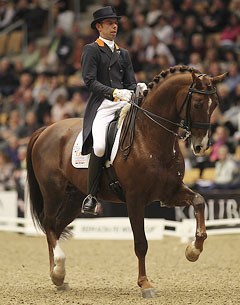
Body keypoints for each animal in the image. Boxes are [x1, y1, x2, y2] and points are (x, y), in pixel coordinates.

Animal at [26, 64, 227, 296]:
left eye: (216, 104)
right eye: (197, 104)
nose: (201, 146)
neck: (149, 137)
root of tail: (46, 129)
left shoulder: (170, 192)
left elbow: (199, 201)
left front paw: (193, 250)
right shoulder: (134, 199)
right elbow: (141, 243)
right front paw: (145, 284)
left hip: (73, 199)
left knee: (56, 227)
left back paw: (57, 277)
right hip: (53, 192)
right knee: (49, 225)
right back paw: (58, 270)